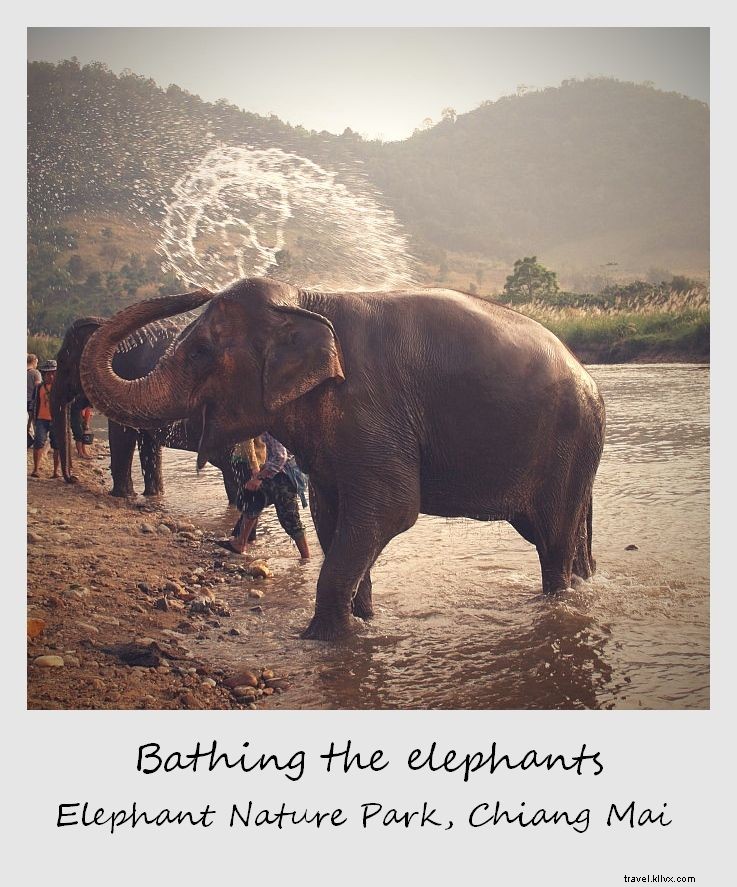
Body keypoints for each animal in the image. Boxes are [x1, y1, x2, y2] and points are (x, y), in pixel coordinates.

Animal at [52, 315, 240, 502]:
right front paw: (153, 495)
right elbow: (148, 442)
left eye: (61, 360)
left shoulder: (122, 379)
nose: (73, 478)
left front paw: (121, 495)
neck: (104, 324)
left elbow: (122, 434)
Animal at [80, 277, 606, 641]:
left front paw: (321, 639)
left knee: (553, 543)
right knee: (563, 537)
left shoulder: (372, 413)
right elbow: (333, 517)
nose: (199, 288)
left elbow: (391, 510)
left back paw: (560, 604)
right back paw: (584, 584)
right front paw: (363, 622)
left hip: (568, 447)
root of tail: (589, 377)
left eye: (201, 352)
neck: (308, 300)